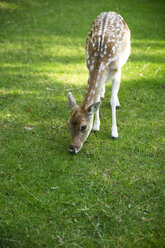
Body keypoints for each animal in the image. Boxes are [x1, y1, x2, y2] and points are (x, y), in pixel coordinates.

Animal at [67, 12, 130, 155]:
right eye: (68, 124)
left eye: (83, 127)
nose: (72, 149)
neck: (101, 61)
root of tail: (110, 12)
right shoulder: (89, 67)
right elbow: (96, 100)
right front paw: (96, 127)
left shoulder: (117, 72)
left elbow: (111, 101)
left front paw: (114, 133)